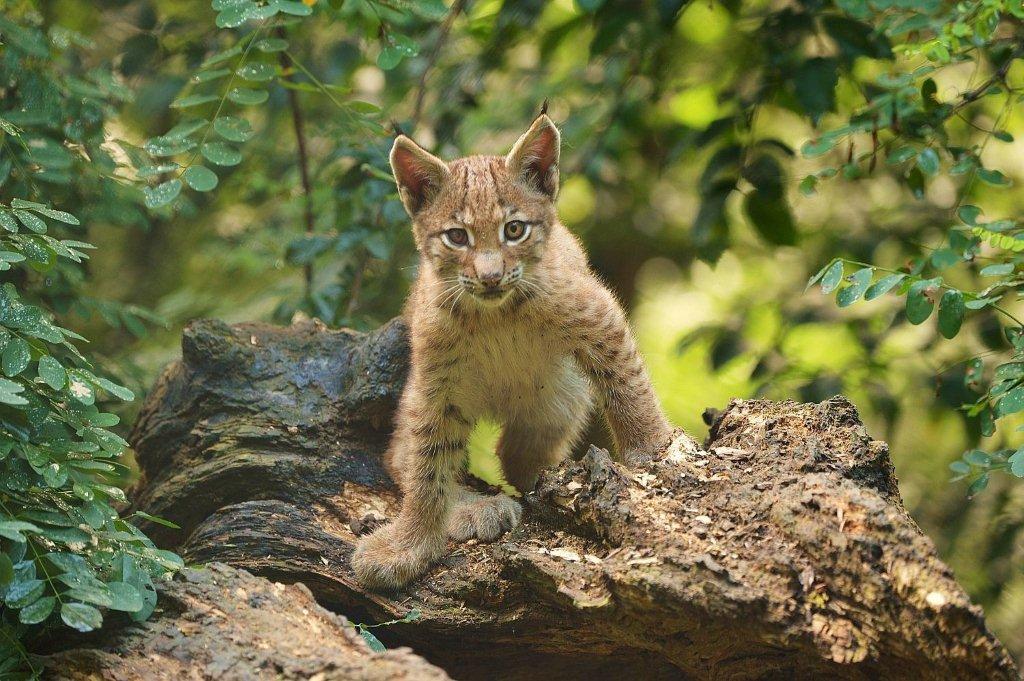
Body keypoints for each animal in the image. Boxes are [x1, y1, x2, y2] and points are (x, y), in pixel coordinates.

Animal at [354, 111, 679, 589]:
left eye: (514, 230)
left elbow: (627, 384)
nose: (490, 276)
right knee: (401, 455)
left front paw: (653, 448)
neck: (496, 315)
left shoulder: (597, 315)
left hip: (556, 403)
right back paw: (474, 508)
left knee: (519, 456)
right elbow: (428, 466)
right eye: (457, 237)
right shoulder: (437, 384)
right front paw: (410, 545)